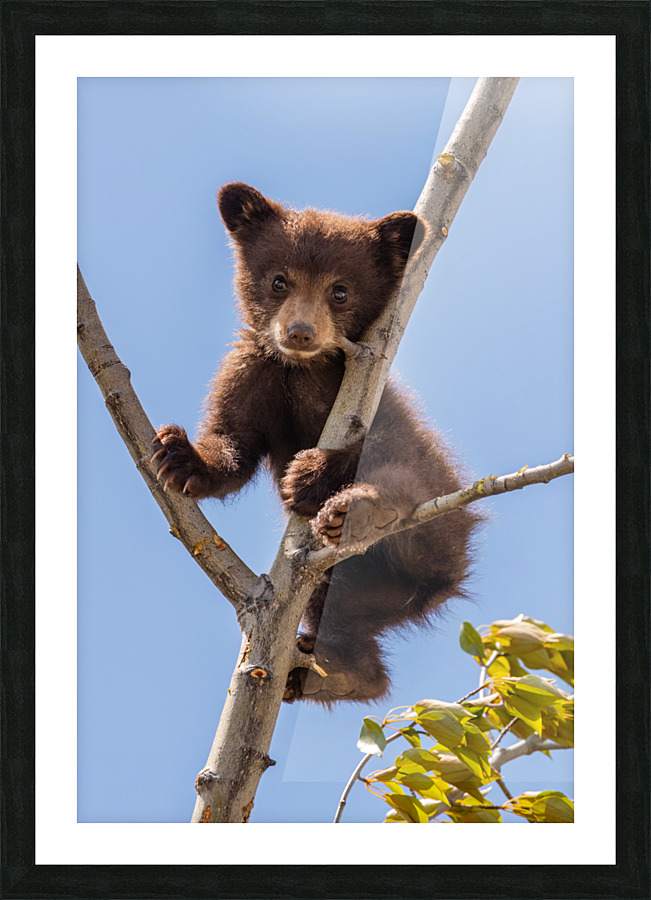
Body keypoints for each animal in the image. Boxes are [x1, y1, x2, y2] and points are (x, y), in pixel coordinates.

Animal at [153, 182, 479, 705]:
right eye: (278, 281)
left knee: (406, 480)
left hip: (443, 520)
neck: (304, 369)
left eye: (340, 291)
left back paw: (358, 511)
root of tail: (440, 585)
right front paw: (181, 457)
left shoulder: (369, 385)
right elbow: (234, 443)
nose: (300, 331)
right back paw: (336, 672)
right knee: (348, 627)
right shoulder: (252, 368)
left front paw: (310, 473)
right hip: (361, 590)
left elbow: (381, 440)